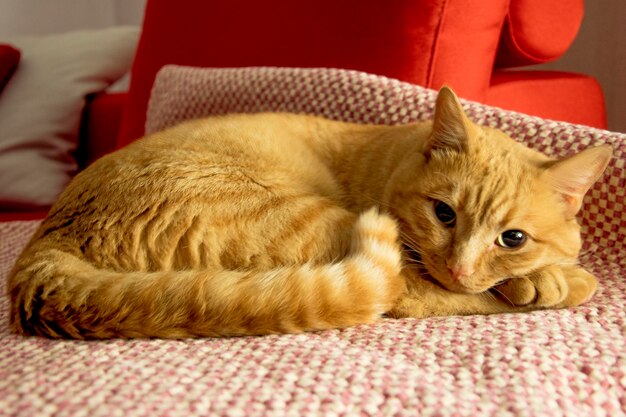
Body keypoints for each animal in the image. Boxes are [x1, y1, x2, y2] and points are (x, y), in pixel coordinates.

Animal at [6, 87, 608, 338]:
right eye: (444, 213)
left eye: (512, 238)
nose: (460, 266)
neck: (394, 156)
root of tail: (46, 248)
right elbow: (457, 293)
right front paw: (554, 279)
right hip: (307, 218)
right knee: (407, 294)